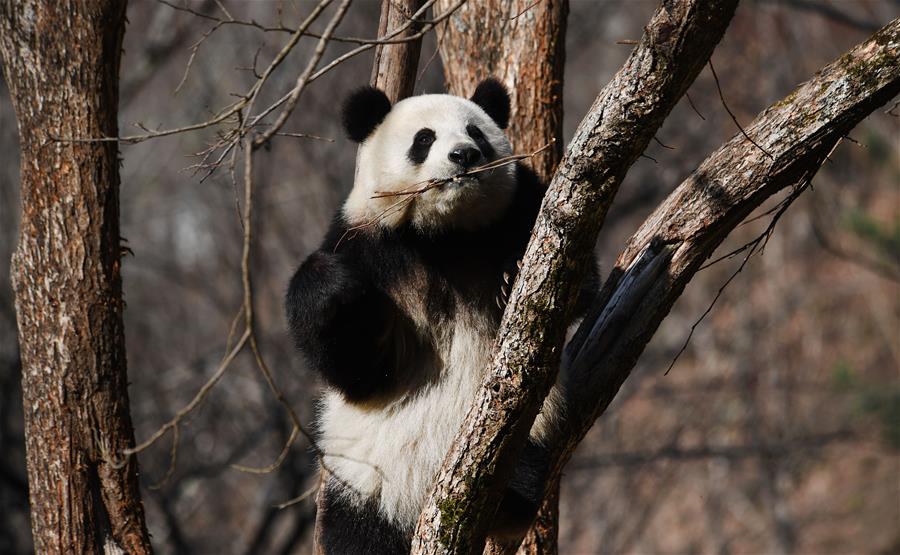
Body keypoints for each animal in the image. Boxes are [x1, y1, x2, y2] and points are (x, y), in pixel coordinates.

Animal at [286, 78, 596, 554]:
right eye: (424, 139)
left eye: (476, 132)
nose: (464, 155)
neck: (444, 236)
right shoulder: (371, 246)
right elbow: (356, 370)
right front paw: (334, 287)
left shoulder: (522, 206)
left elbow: (578, 282)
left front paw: (512, 275)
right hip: (362, 484)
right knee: (355, 532)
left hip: (532, 433)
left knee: (525, 467)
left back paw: (510, 496)